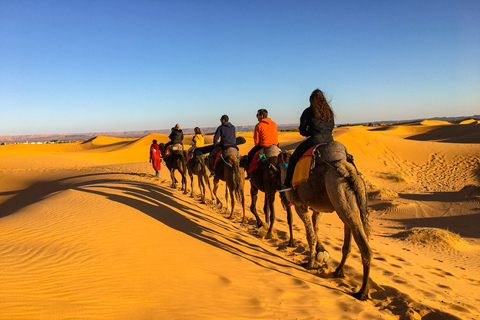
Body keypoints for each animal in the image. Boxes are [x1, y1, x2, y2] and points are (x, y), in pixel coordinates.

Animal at [278, 149, 376, 302]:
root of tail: (351, 175)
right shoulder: (317, 209)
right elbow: (315, 228)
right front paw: (321, 254)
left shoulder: (300, 205)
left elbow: (310, 235)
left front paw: (310, 264)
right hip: (347, 206)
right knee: (348, 240)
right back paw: (338, 272)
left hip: (338, 192)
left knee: (365, 248)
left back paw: (362, 292)